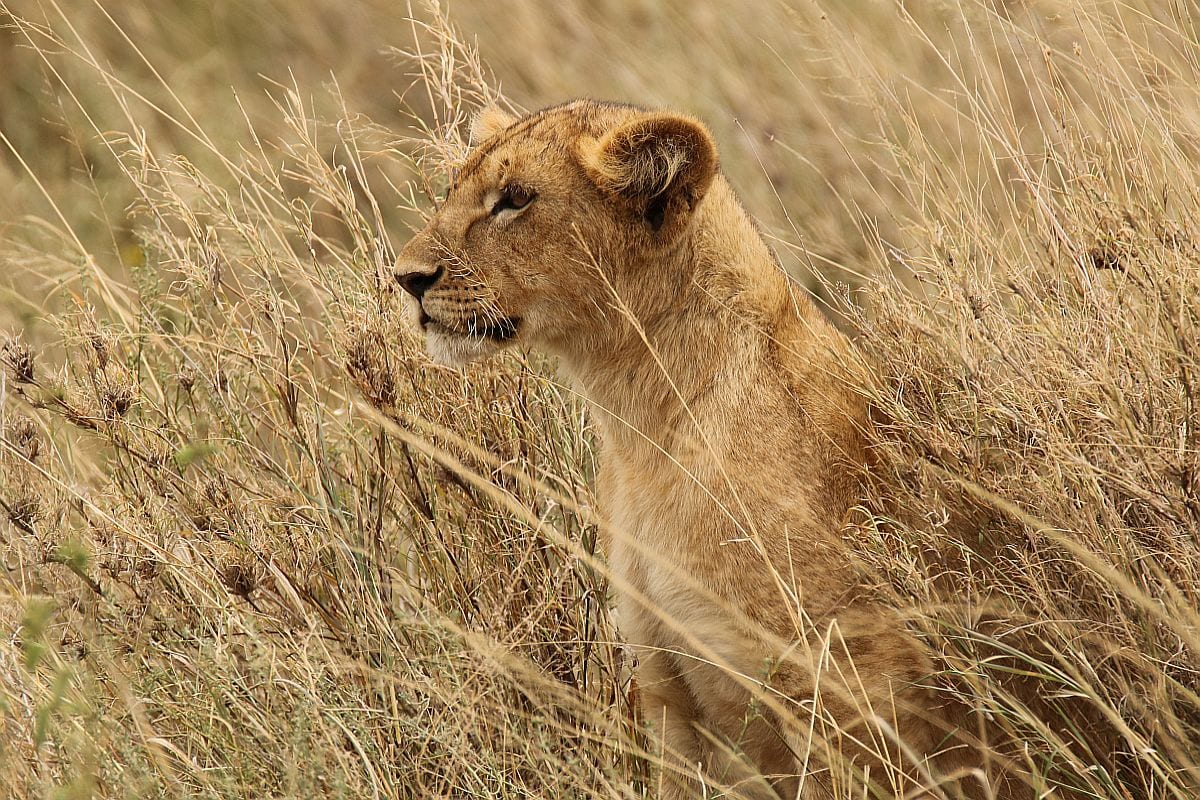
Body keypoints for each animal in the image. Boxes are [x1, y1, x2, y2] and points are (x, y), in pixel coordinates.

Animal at [396, 101, 1012, 800]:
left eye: (516, 199)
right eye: (452, 188)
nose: (406, 279)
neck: (641, 430)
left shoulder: (854, 691)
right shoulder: (667, 689)